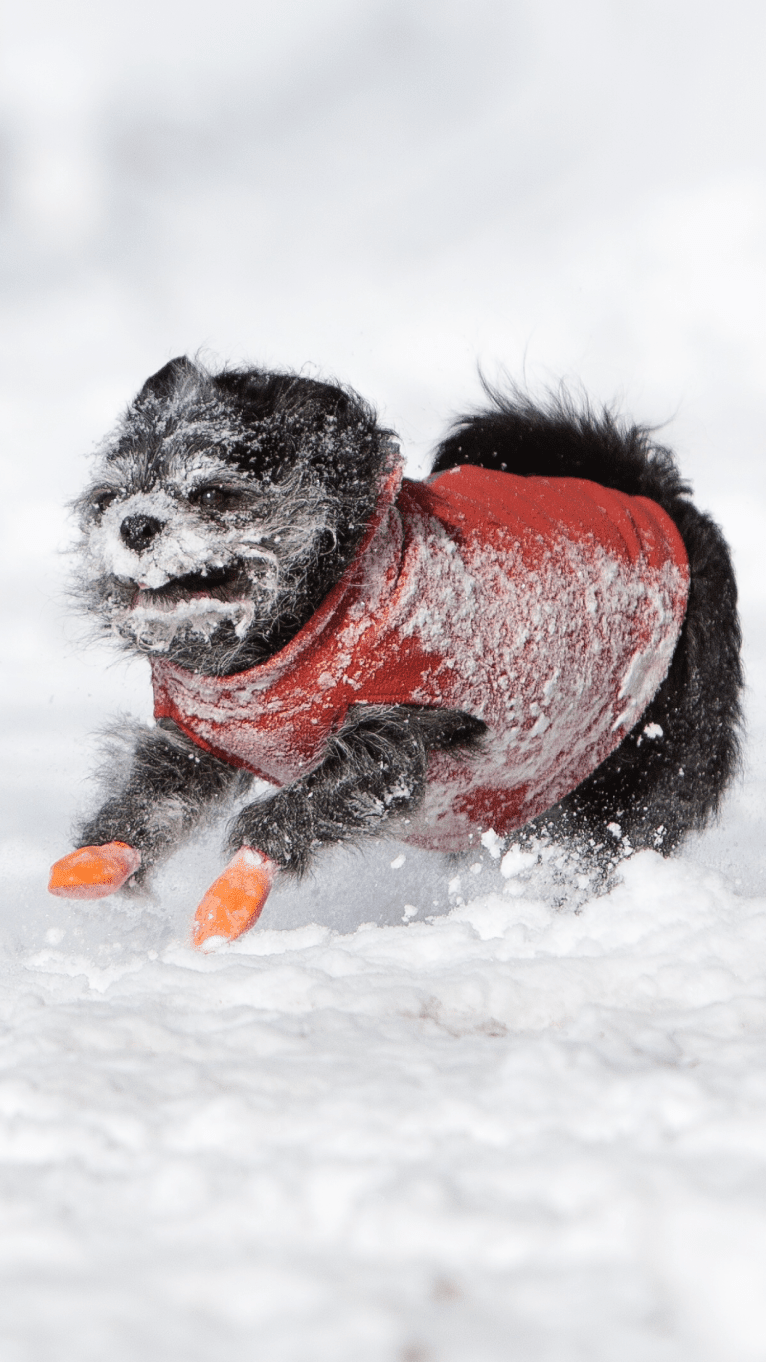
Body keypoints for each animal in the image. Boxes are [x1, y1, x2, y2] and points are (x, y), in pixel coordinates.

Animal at [49, 356, 741, 942]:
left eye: (214, 494)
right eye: (111, 497)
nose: (135, 525)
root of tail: (657, 500)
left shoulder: (397, 740)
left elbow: (300, 807)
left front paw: (239, 887)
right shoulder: (206, 741)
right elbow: (154, 797)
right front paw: (104, 855)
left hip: (635, 773)